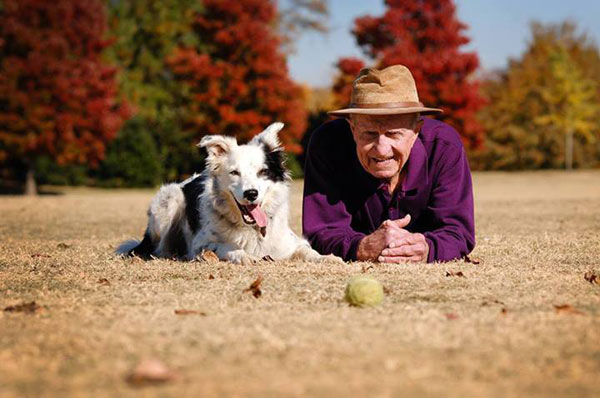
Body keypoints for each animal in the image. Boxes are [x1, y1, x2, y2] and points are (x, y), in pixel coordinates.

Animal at [117, 121, 338, 264]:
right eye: (234, 172)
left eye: (263, 172)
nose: (251, 193)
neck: (251, 229)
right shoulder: (201, 243)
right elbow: (227, 247)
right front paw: (244, 255)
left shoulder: (290, 243)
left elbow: (307, 251)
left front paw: (327, 258)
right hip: (170, 201)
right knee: (160, 248)